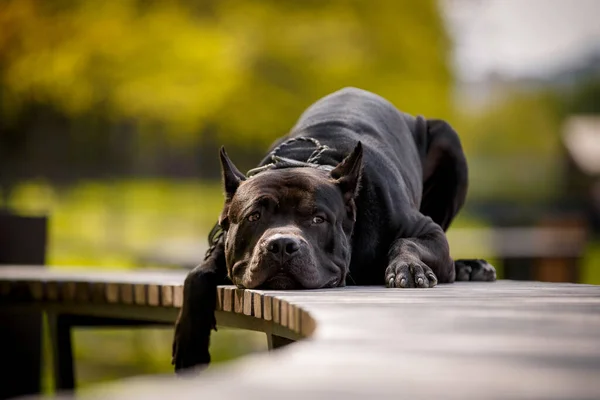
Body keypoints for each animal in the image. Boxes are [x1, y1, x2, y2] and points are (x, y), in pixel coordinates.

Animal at [171, 87, 494, 372]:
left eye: (319, 219)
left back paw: (469, 266)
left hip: (448, 144)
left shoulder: (428, 230)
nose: (282, 245)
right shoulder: (223, 241)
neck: (303, 161)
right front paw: (189, 343)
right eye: (254, 216)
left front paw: (408, 268)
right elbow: (197, 274)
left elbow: (406, 242)